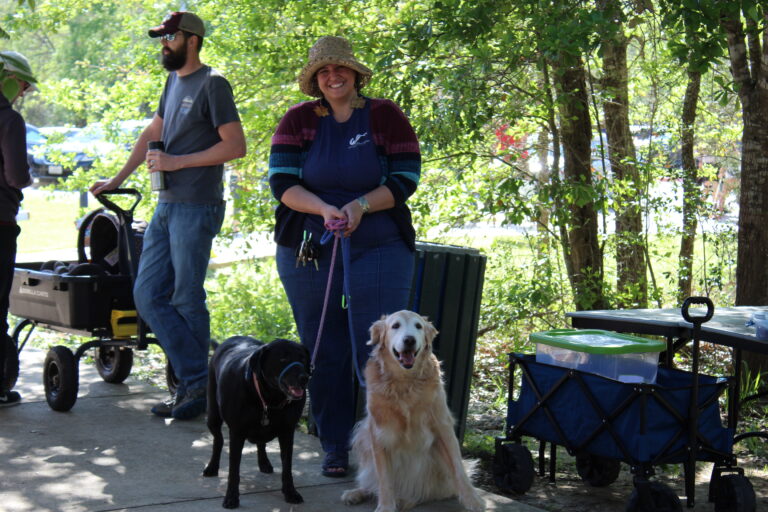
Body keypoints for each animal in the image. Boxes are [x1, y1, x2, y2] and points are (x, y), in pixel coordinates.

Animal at [203, 336, 310, 509]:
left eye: (303, 359)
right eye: (283, 358)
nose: (304, 378)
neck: (268, 399)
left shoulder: (287, 432)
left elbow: (287, 468)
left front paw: (290, 492)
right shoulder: (237, 433)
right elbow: (234, 470)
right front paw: (231, 497)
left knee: (261, 443)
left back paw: (264, 462)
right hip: (213, 415)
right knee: (218, 441)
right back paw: (212, 466)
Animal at [341, 310, 485, 512]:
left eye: (418, 326)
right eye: (395, 326)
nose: (409, 340)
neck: (405, 382)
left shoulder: (443, 427)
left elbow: (458, 469)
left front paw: (473, 501)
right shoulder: (378, 433)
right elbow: (384, 479)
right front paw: (386, 506)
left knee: (426, 493)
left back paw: (404, 500)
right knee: (373, 482)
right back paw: (357, 493)